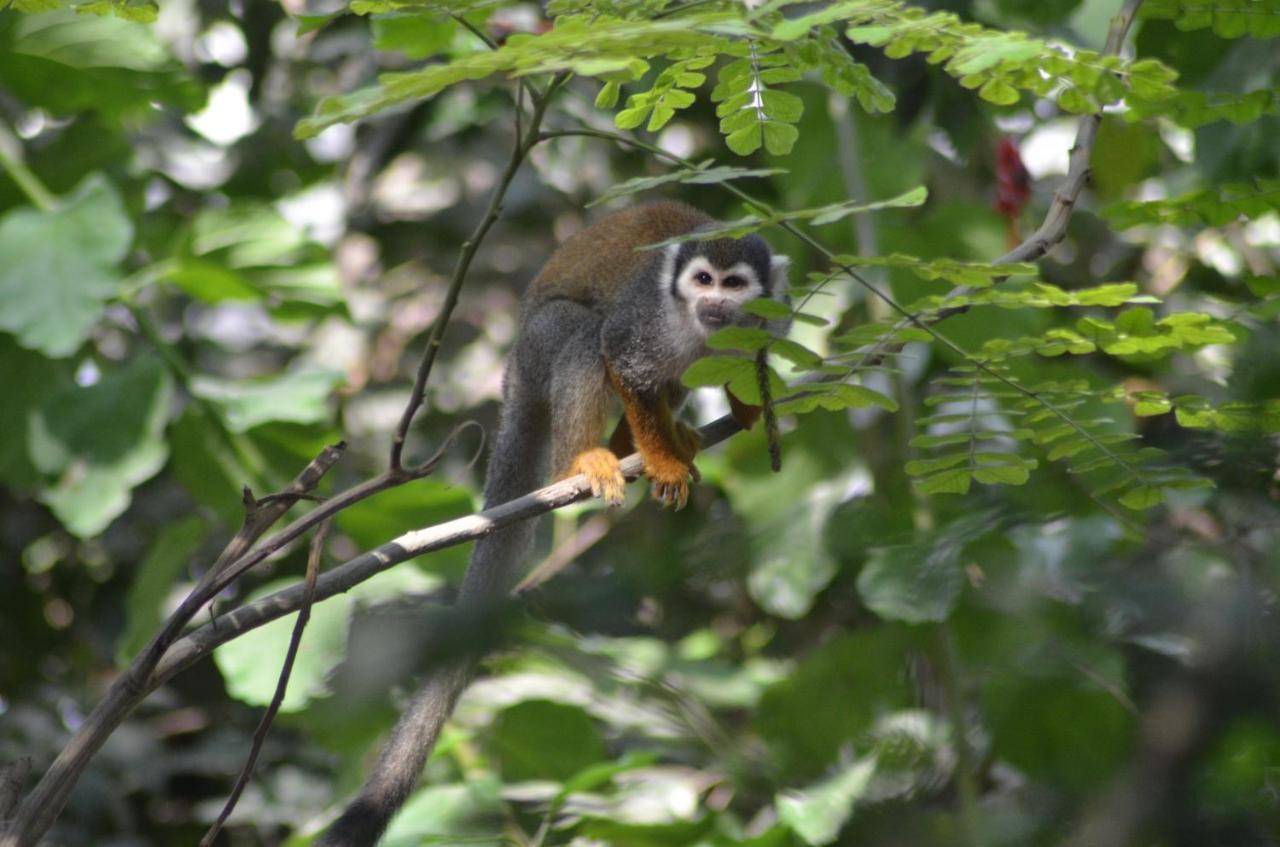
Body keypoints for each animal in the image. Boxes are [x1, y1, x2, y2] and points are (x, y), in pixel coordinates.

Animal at [317, 202, 788, 844]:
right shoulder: (646, 323)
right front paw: (663, 459)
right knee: (586, 335)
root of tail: (511, 369)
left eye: (734, 284)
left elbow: (746, 365)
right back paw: (592, 457)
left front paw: (747, 408)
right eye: (703, 281)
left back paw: (645, 441)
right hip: (539, 348)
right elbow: (621, 356)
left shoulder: (767, 320)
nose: (713, 303)